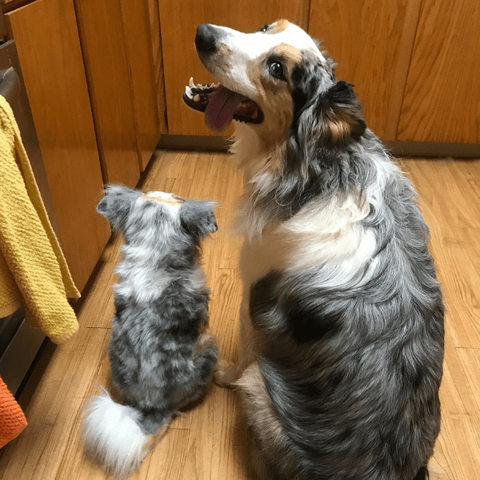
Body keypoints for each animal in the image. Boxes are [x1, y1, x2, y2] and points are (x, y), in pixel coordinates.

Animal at [185, 19, 446, 480]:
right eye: (265, 27)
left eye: (276, 68)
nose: (203, 33)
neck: (322, 170)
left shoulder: (254, 293)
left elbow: (244, 353)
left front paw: (222, 374)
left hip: (260, 389)